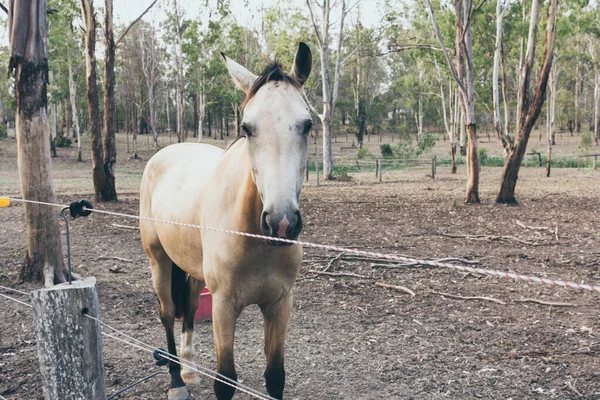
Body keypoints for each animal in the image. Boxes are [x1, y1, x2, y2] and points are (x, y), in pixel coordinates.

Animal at [138, 42, 312, 398]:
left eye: (307, 125)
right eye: (246, 128)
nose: (282, 223)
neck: (255, 240)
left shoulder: (280, 304)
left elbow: (275, 375)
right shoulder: (223, 306)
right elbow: (226, 380)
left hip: (192, 271)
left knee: (190, 309)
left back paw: (190, 370)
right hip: (158, 261)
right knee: (167, 314)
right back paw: (177, 381)